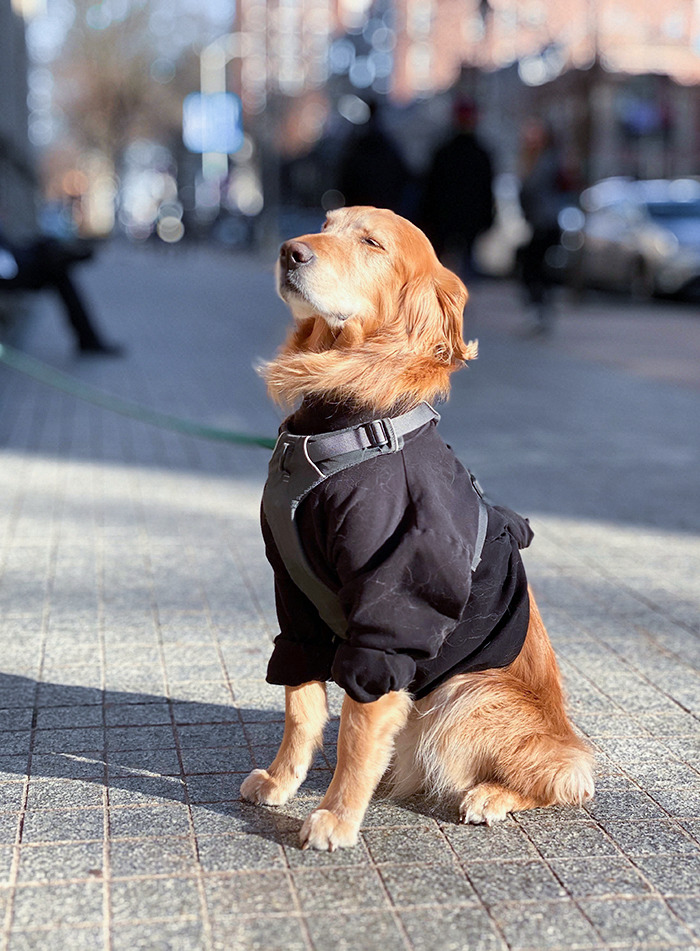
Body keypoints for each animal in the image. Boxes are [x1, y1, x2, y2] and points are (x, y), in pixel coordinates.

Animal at [241, 205, 596, 852]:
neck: (348, 415)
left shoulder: (392, 612)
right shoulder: (294, 596)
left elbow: (357, 727)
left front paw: (337, 816)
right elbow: (301, 707)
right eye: (324, 223)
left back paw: (491, 795)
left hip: (468, 696)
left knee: (563, 776)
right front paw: (282, 781)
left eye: (372, 242)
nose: (289, 252)